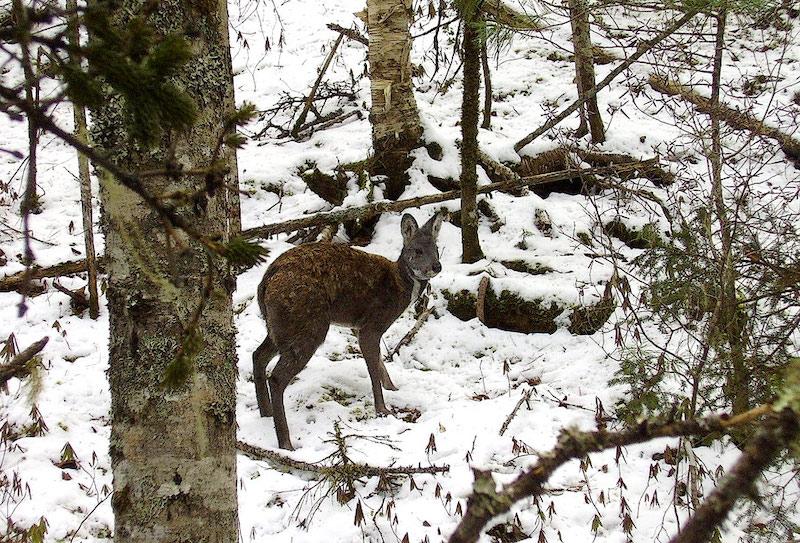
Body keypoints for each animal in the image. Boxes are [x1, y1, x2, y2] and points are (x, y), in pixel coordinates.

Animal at [252, 212, 444, 450]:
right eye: (417, 250)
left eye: (436, 248)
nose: (436, 266)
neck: (400, 288)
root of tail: (266, 281)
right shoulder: (373, 324)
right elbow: (374, 368)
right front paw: (383, 409)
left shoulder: (356, 326)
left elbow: (380, 364)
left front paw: (394, 389)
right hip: (309, 325)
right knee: (277, 377)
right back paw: (286, 443)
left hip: (279, 326)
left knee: (258, 355)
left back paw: (265, 413)